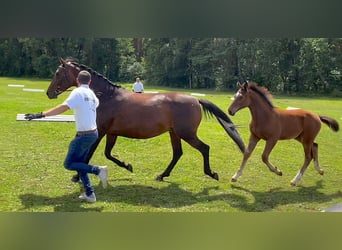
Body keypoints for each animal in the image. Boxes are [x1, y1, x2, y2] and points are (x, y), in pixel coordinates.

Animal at [46, 58, 246, 183]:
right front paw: (128, 166)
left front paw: (76, 177)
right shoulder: (111, 133)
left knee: (204, 148)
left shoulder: (100, 130)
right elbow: (108, 154)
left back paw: (211, 173)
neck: (106, 97)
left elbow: (90, 153)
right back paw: (162, 175)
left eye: (57, 73)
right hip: (175, 133)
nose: (49, 93)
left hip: (186, 133)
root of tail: (195, 100)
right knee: (178, 153)